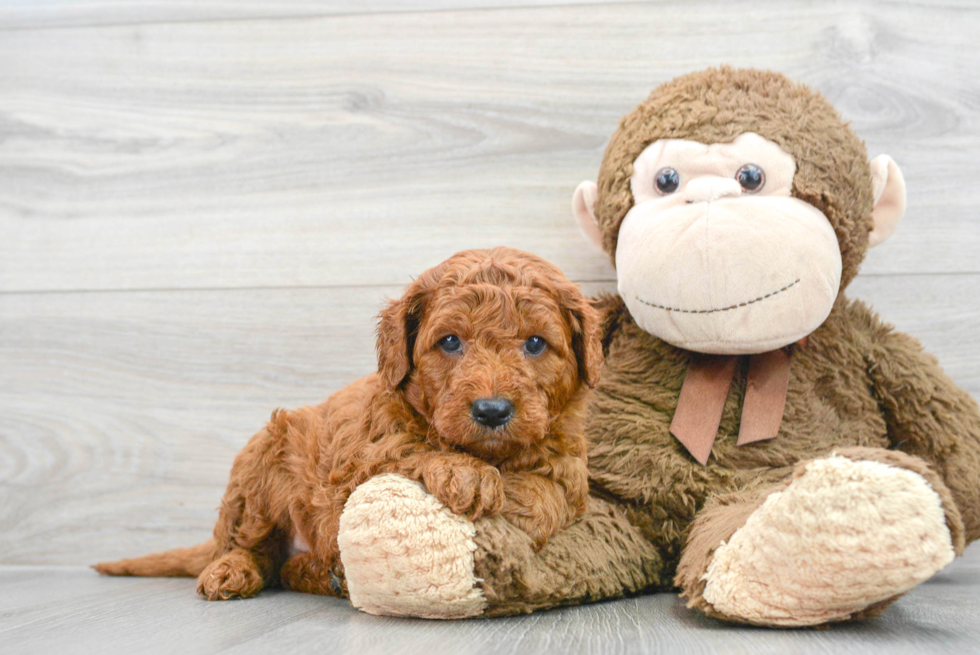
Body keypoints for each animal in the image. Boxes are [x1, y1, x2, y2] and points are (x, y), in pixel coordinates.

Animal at [99, 246, 604, 600]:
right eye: (450, 342)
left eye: (536, 343)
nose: (492, 410)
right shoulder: (355, 461)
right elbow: (406, 451)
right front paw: (465, 473)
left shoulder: (570, 466)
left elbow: (548, 496)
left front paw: (510, 495)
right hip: (263, 458)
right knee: (252, 546)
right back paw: (232, 570)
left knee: (283, 566)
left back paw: (326, 574)